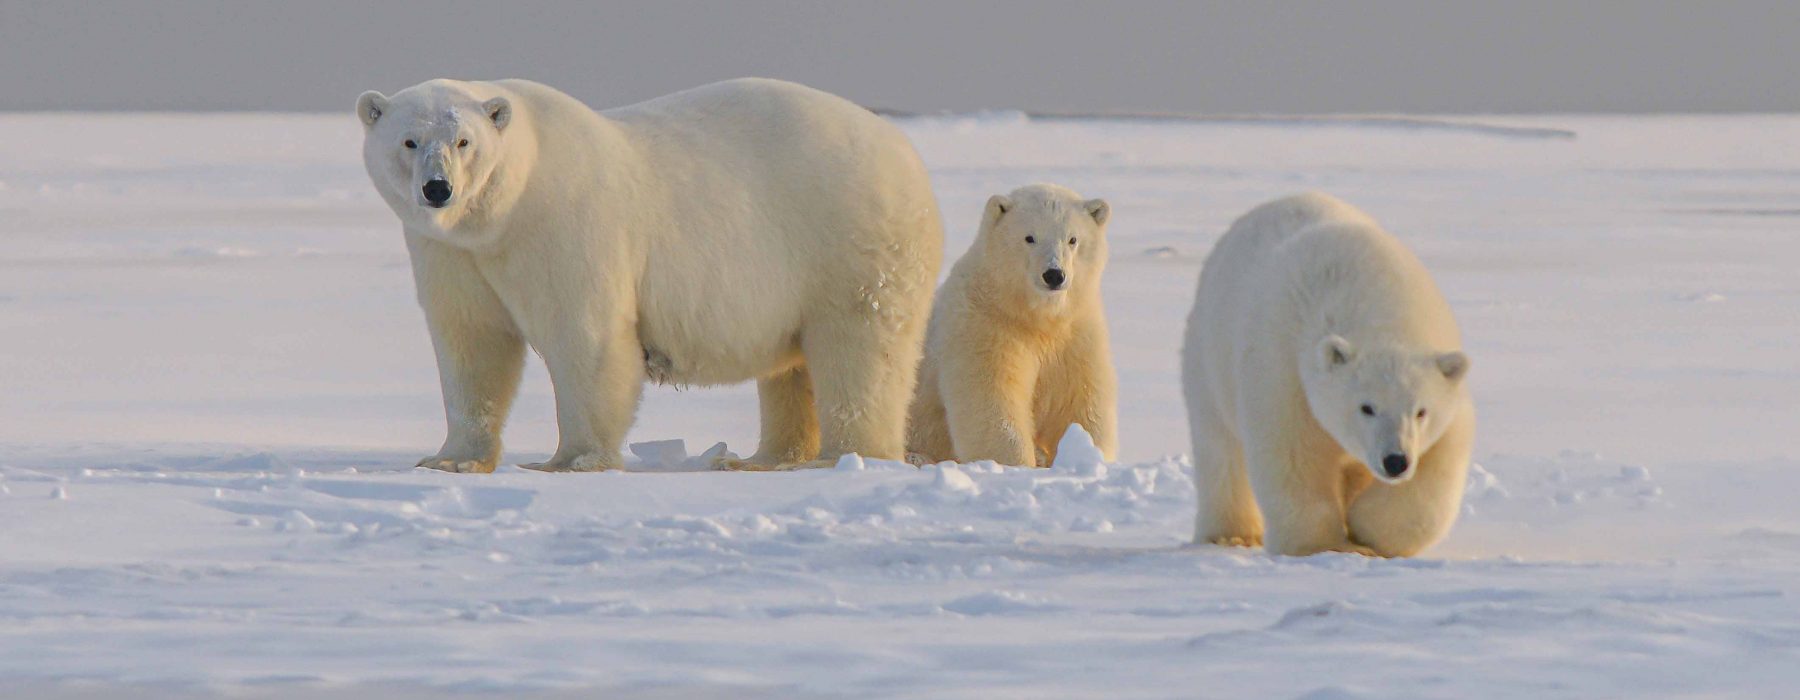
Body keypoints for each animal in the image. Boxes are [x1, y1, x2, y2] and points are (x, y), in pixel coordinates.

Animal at [351, 80, 943, 475]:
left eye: (464, 142)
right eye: (408, 141)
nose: (438, 189)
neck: (505, 210)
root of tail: (906, 152)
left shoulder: (565, 224)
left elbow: (584, 337)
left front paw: (572, 460)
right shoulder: (452, 253)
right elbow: (472, 343)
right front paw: (450, 460)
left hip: (849, 242)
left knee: (859, 350)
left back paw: (844, 456)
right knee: (791, 367)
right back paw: (763, 459)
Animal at [907, 182, 1116, 467]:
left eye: (1073, 239)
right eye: (1029, 237)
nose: (1054, 274)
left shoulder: (1075, 332)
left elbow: (1078, 400)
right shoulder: (984, 325)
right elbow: (992, 398)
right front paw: (1018, 463)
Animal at [1180, 192, 1476, 557]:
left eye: (1421, 411)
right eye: (1366, 407)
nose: (1395, 461)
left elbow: (1438, 465)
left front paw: (1366, 530)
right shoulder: (1284, 369)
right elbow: (1293, 454)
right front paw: (1323, 545)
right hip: (1208, 358)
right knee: (1220, 449)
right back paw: (1231, 535)